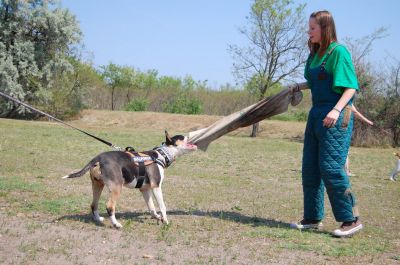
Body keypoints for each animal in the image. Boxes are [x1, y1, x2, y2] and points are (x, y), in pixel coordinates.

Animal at [62, 130, 197, 227]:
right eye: (181, 137)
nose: (190, 134)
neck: (162, 155)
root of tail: (98, 158)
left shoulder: (145, 189)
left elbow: (151, 207)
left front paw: (158, 217)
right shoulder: (156, 187)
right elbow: (162, 206)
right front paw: (165, 220)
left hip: (98, 185)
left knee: (93, 204)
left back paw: (98, 219)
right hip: (116, 187)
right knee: (109, 206)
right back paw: (116, 224)